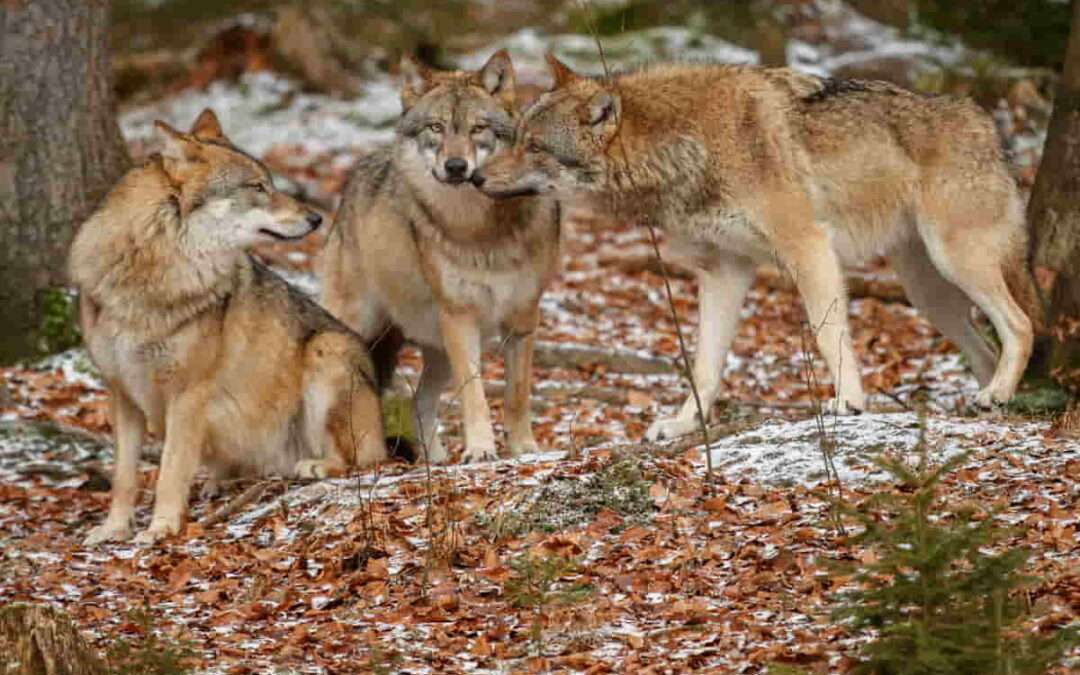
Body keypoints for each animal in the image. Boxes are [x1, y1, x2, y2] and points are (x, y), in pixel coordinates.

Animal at [70, 109, 387, 545]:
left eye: (270, 183)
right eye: (257, 187)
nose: (316, 217)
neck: (153, 273)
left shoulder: (188, 394)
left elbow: (170, 471)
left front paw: (160, 528)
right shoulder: (122, 394)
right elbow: (124, 477)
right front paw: (114, 529)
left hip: (328, 351)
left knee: (361, 460)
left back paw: (314, 466)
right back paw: (218, 482)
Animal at [319, 51, 561, 463]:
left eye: (478, 128)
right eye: (436, 127)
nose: (456, 166)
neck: (478, 230)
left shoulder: (524, 317)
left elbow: (517, 395)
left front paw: (524, 448)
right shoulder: (460, 317)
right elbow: (475, 394)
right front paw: (480, 449)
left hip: (436, 350)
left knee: (418, 402)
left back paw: (434, 460)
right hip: (356, 327)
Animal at [473, 56, 1039, 441]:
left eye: (534, 146)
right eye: (514, 136)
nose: (474, 177)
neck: (688, 146)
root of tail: (988, 125)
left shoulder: (808, 248)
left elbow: (829, 335)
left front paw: (849, 402)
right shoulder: (724, 271)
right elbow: (704, 366)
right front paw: (682, 425)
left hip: (955, 262)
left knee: (1021, 325)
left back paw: (997, 393)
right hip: (928, 293)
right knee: (987, 348)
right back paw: (987, 403)